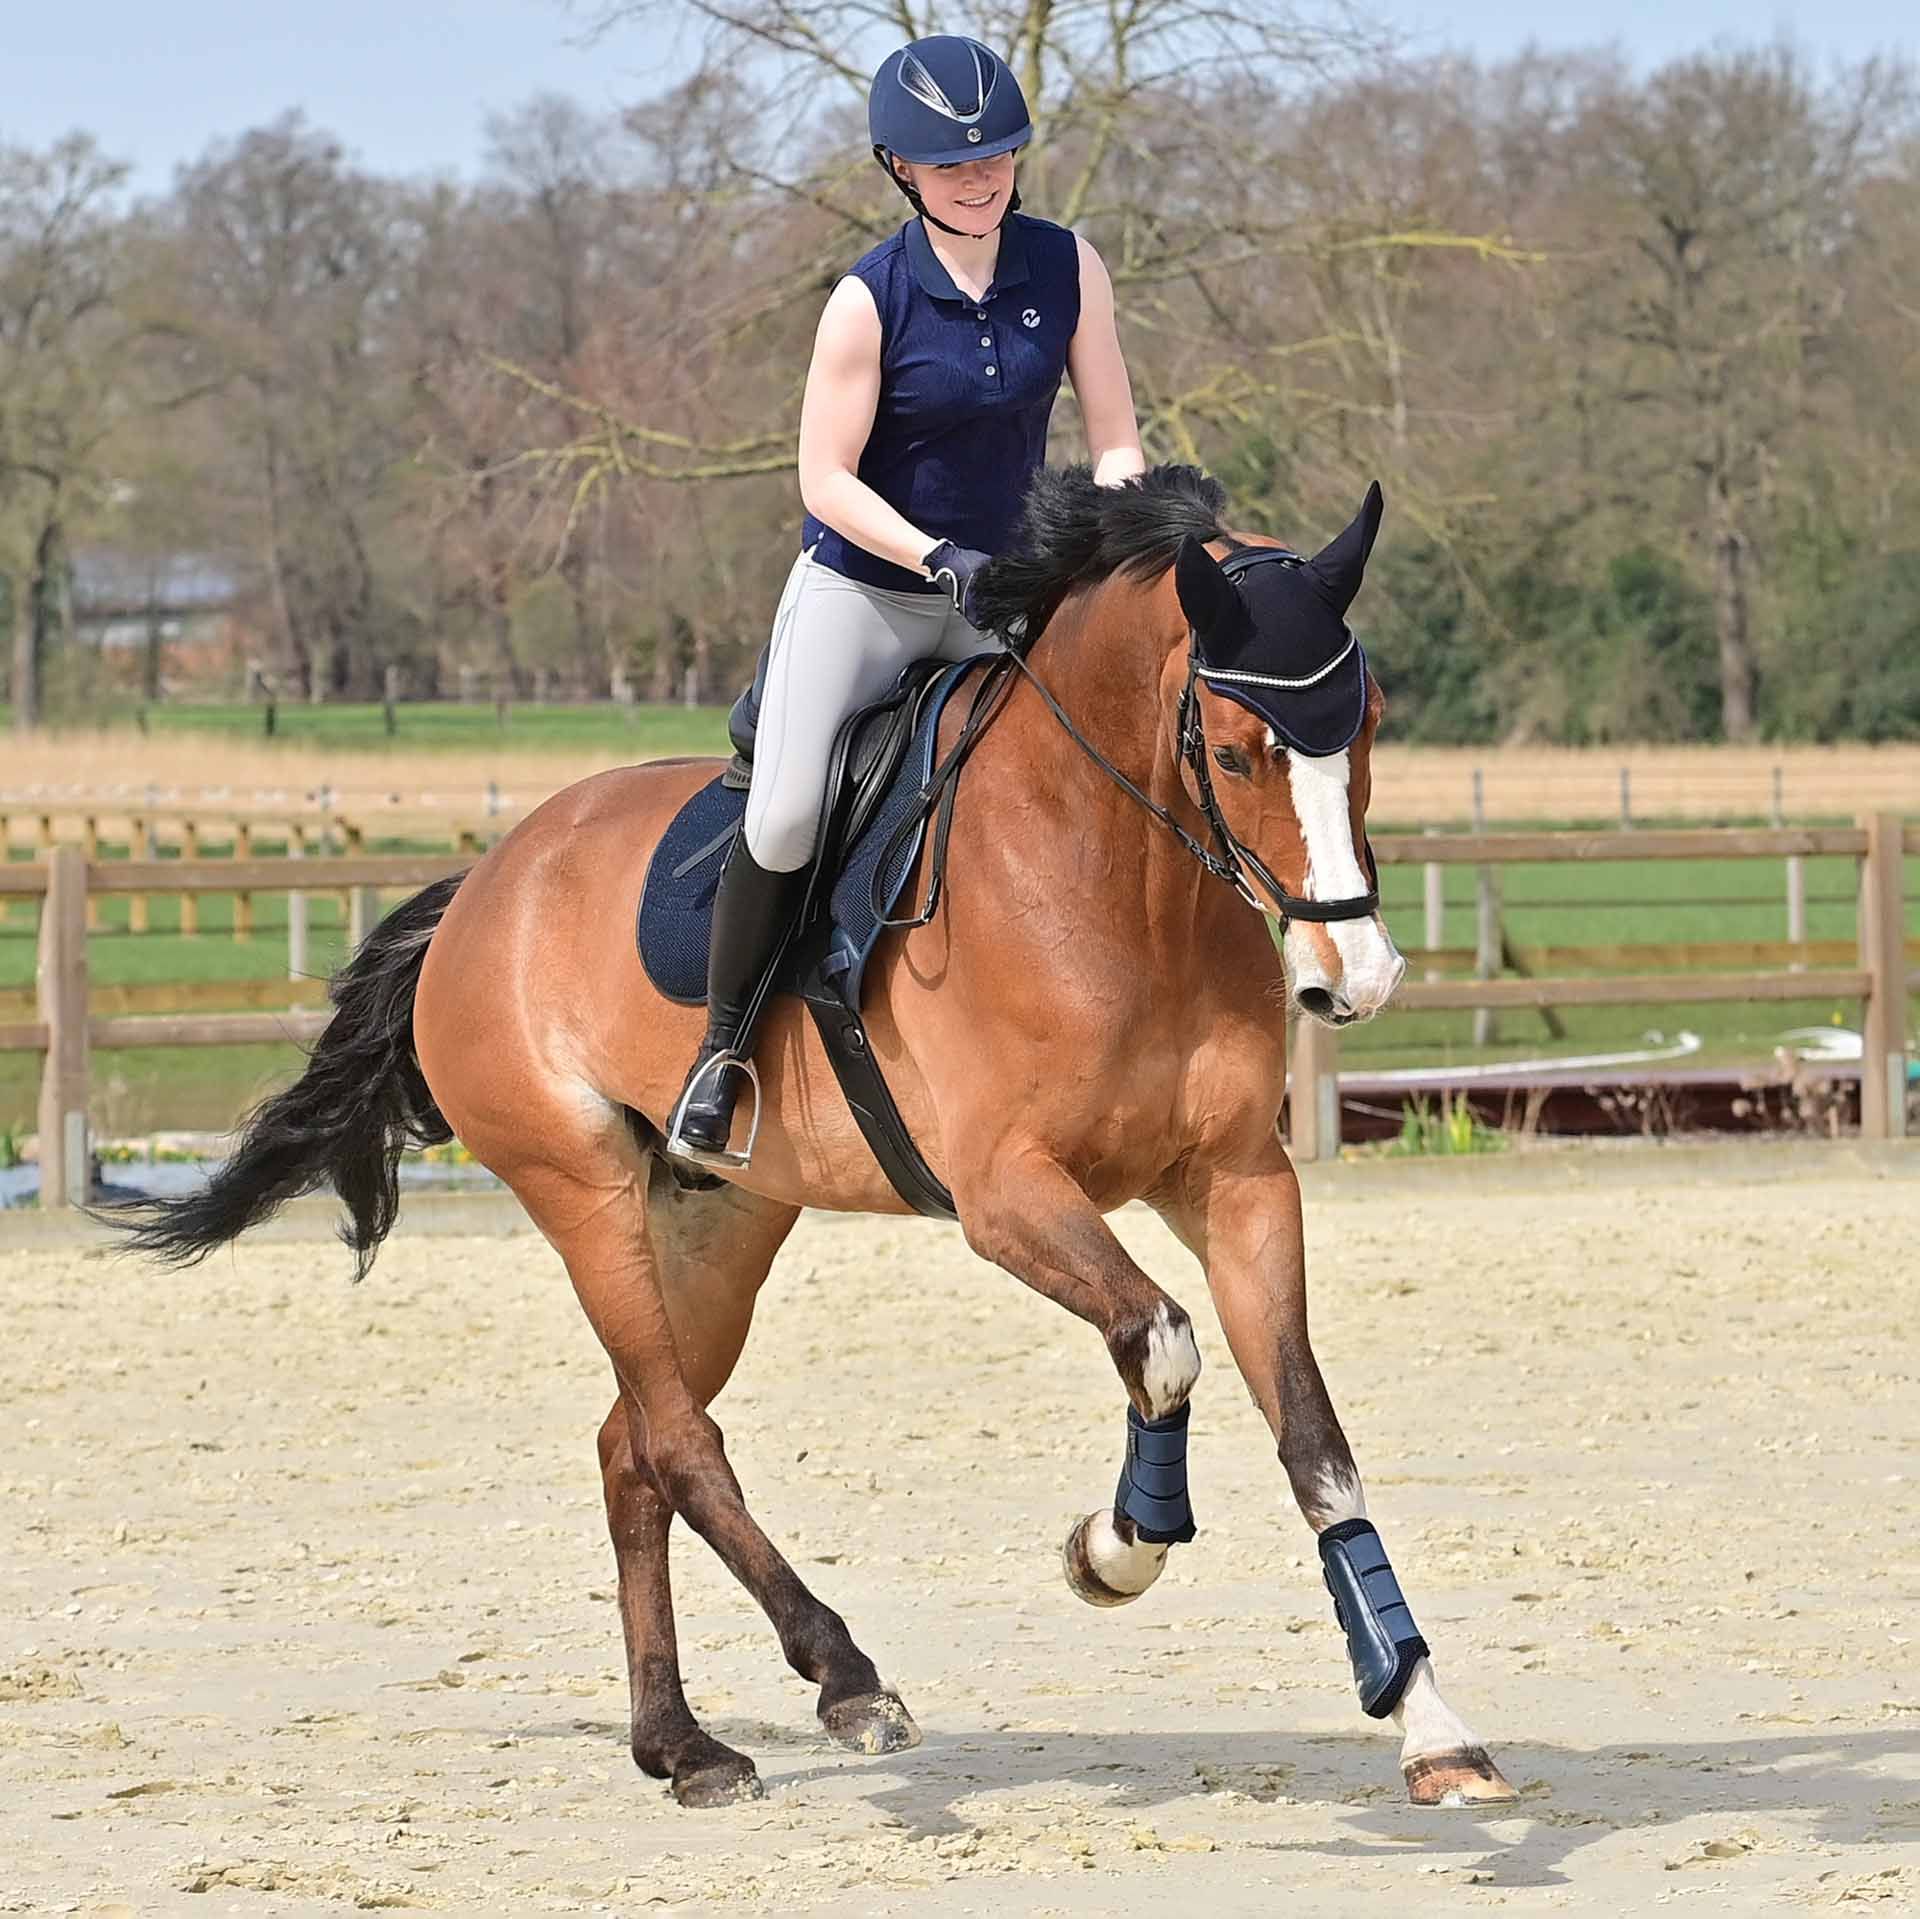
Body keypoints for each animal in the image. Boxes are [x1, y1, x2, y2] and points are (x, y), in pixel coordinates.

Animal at [111, 464, 1517, 1813]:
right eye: (1233, 753)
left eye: (1368, 725)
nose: (1358, 978)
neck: (1118, 873)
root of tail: (487, 883)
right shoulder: (1009, 1193)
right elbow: (1160, 1342)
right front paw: (1114, 1549)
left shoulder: (1236, 1181)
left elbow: (1315, 1444)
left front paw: (1428, 1724)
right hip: (585, 1193)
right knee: (681, 1440)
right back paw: (844, 1677)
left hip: (720, 1220)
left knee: (633, 1444)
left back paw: (682, 1745)